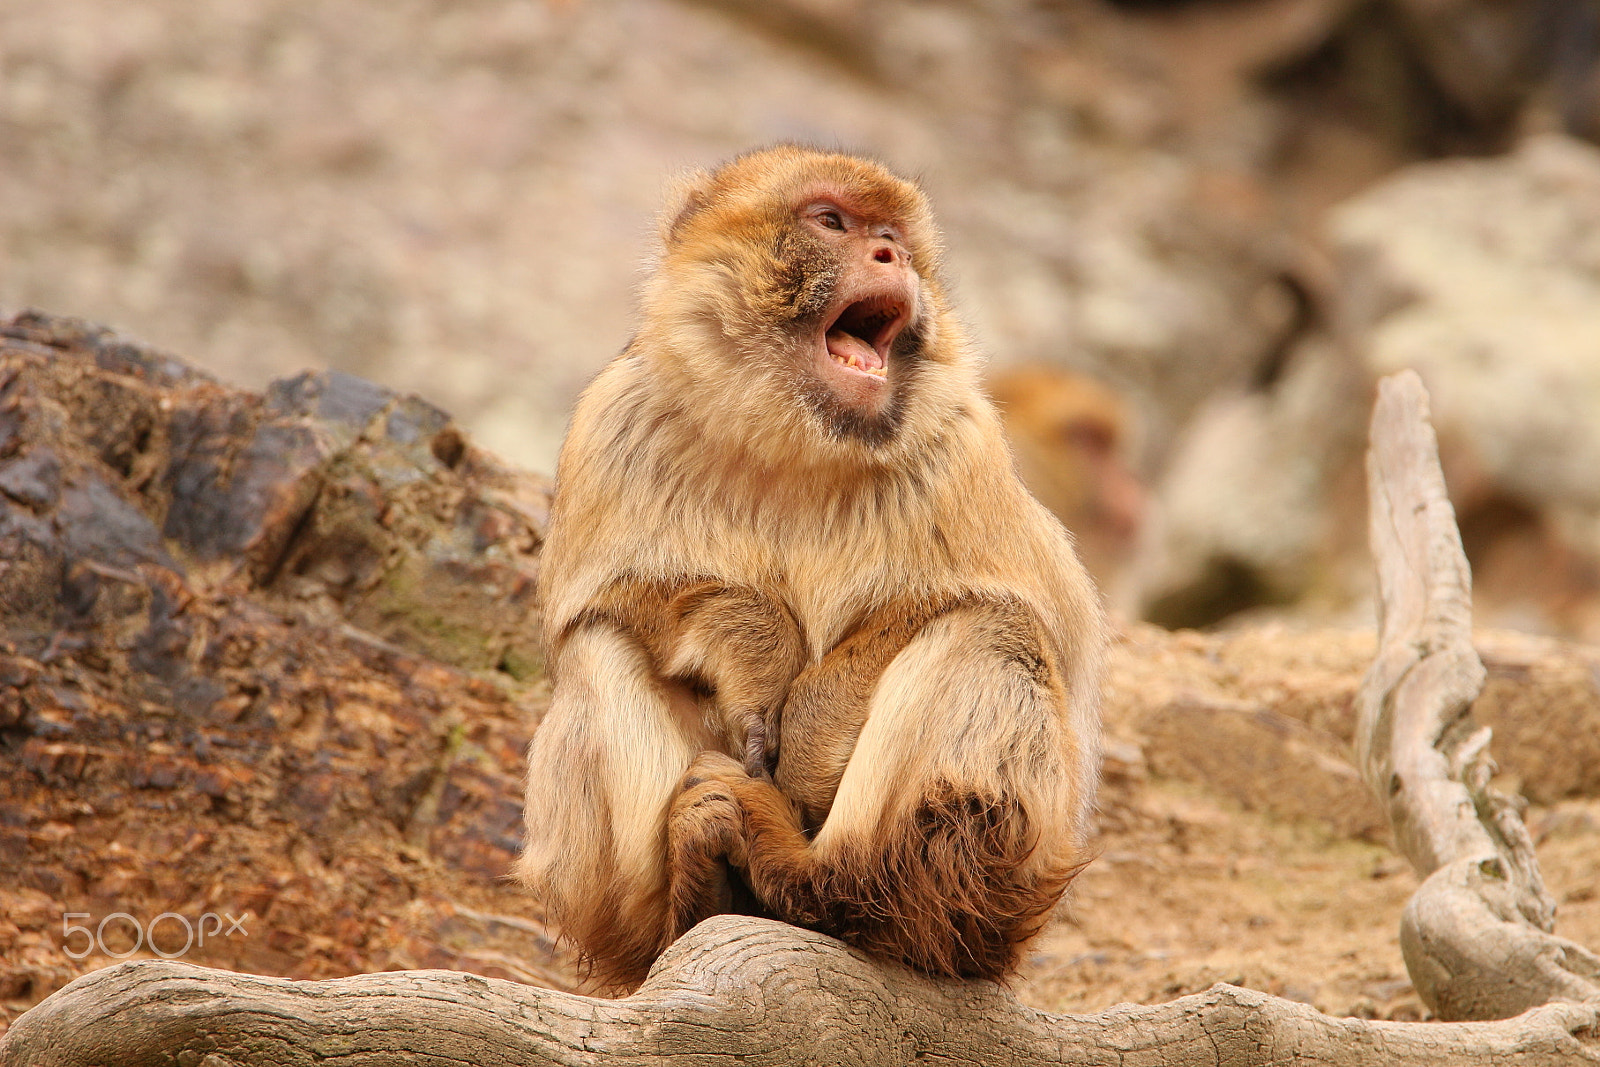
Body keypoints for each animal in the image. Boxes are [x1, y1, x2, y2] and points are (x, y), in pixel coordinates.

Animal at [517, 145, 1106, 993]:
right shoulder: (616, 418)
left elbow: (1005, 604)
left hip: (1004, 893)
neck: (793, 437)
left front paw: (810, 733)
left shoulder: (962, 441)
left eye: (894, 234)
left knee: (991, 631)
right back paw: (695, 897)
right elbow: (595, 600)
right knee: (599, 646)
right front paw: (752, 648)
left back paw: (823, 881)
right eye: (832, 221)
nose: (891, 255)